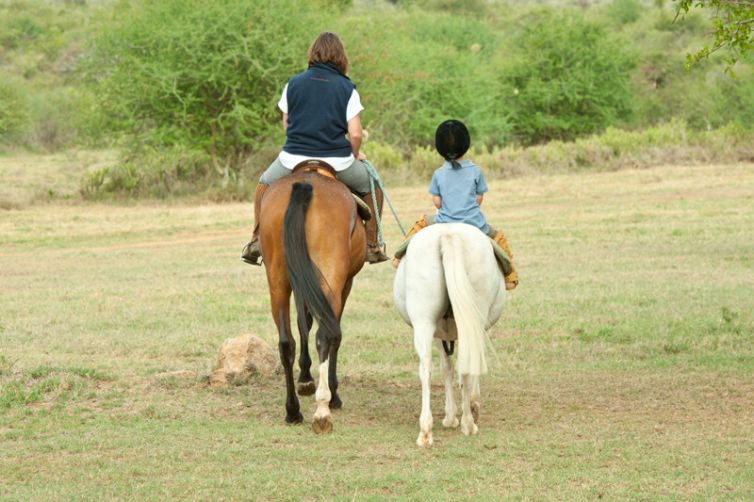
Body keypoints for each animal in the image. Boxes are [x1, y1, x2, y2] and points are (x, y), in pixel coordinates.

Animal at [259, 163, 366, 433]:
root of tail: (306, 184)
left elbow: (303, 323)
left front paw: (305, 378)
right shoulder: (345, 284)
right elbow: (331, 333)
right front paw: (331, 393)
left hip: (278, 279)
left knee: (286, 341)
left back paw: (292, 411)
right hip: (331, 277)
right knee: (326, 334)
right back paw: (323, 410)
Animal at [393, 223, 507, 446]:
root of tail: (448, 234)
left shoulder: (440, 333)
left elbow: (446, 368)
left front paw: (451, 415)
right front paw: (464, 410)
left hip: (424, 320)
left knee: (426, 367)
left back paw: (425, 431)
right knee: (465, 367)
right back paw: (468, 424)